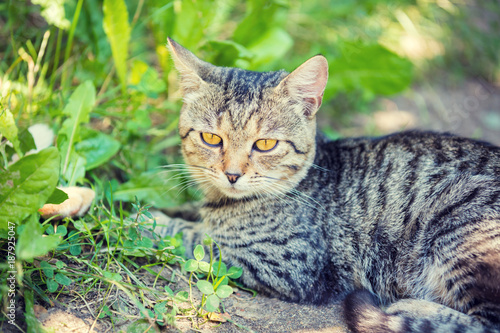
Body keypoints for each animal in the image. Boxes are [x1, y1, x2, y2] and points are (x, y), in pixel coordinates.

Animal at [152, 37, 500, 332]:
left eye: (265, 144)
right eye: (211, 138)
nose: (232, 174)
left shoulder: (290, 265)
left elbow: (190, 238)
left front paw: (148, 218)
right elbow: (188, 215)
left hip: (458, 223)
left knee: (483, 323)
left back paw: (408, 307)